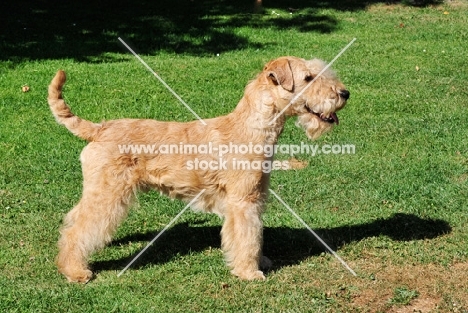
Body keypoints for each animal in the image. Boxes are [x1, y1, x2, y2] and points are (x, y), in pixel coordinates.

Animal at [47, 56, 350, 282]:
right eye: (308, 78)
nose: (344, 93)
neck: (252, 127)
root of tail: (99, 128)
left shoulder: (255, 197)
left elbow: (255, 235)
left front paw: (260, 260)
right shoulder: (243, 201)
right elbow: (247, 237)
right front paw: (249, 272)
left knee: (72, 220)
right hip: (108, 192)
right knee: (77, 229)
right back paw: (76, 271)